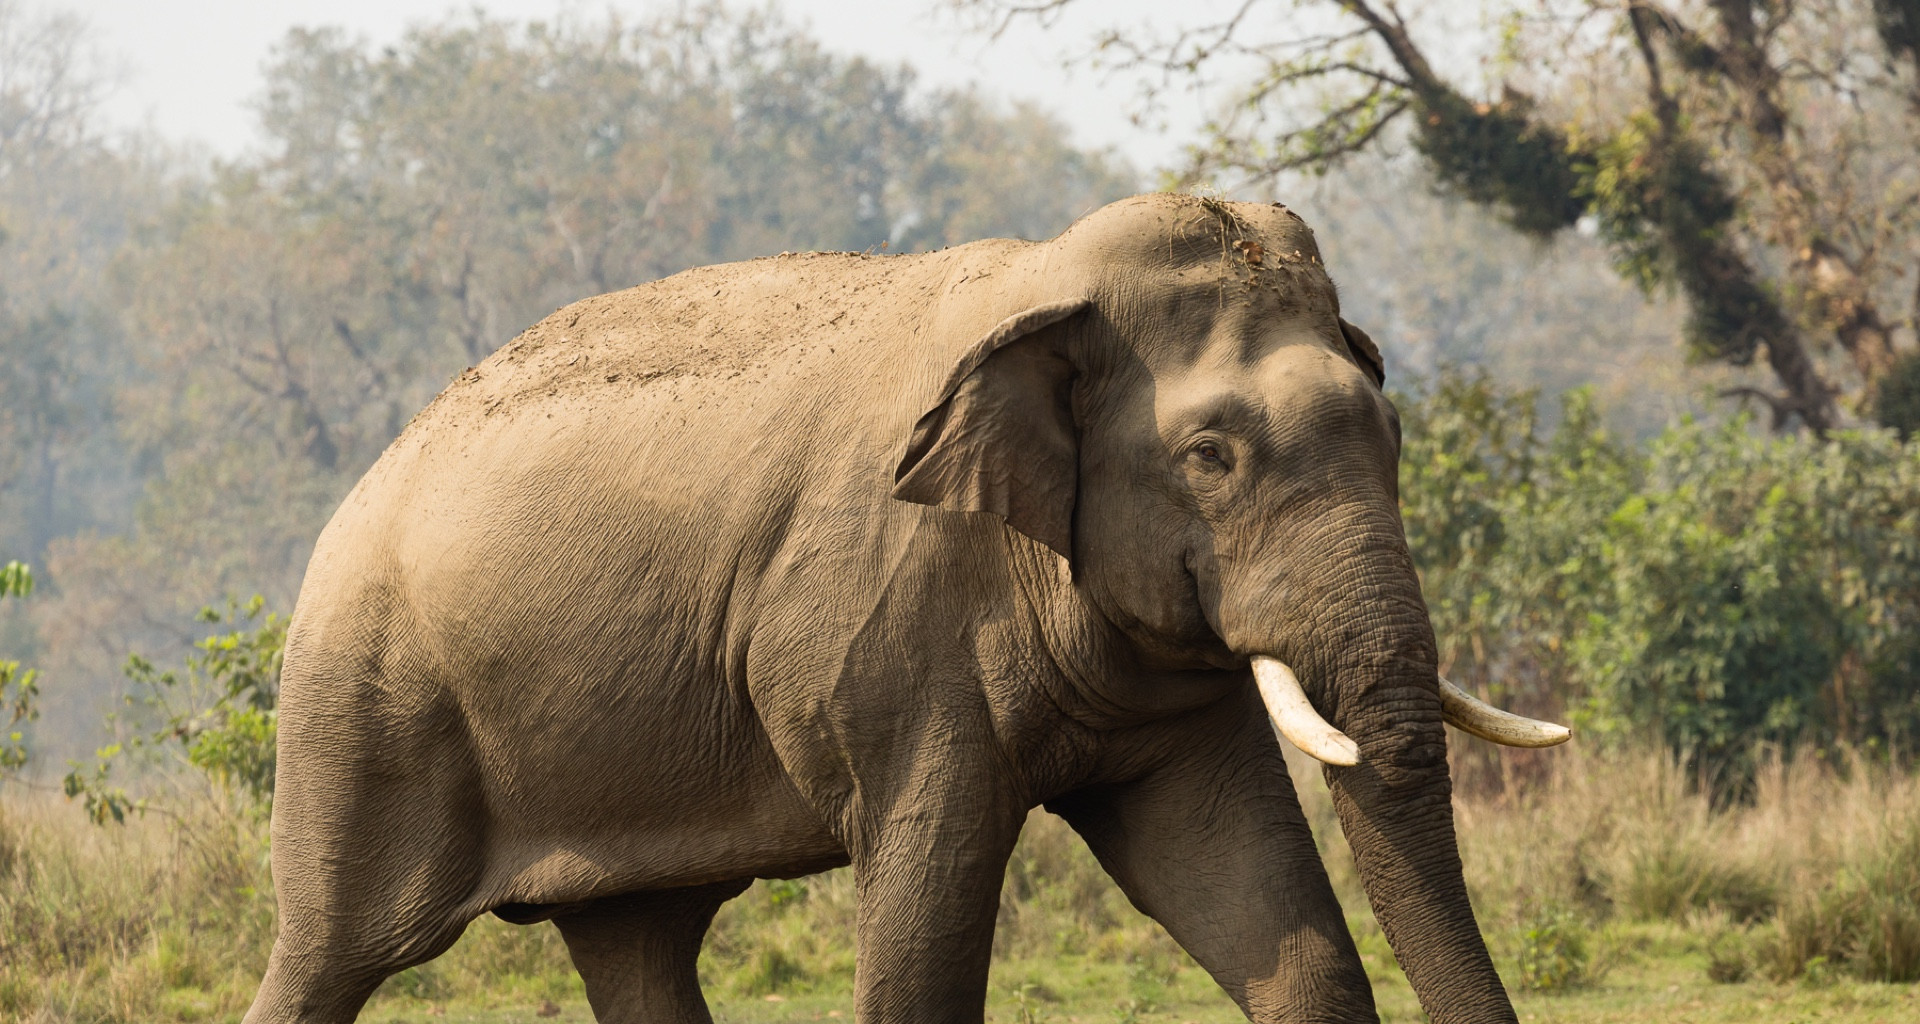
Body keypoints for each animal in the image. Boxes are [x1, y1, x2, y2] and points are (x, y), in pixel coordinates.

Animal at [243, 192, 1559, 1022]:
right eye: (1213, 458)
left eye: (1395, 433)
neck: (1046, 273)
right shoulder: (888, 632)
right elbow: (924, 936)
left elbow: (1268, 918)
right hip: (365, 712)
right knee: (333, 953)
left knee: (639, 941)